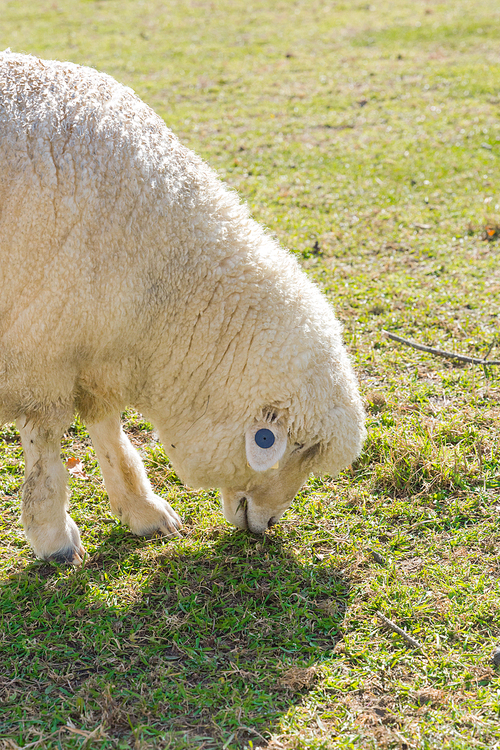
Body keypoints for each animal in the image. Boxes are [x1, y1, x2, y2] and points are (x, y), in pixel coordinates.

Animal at [0, 51, 366, 564]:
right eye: (292, 448)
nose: (268, 525)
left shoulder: (94, 341)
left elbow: (107, 429)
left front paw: (143, 510)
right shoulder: (41, 349)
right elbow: (47, 447)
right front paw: (53, 537)